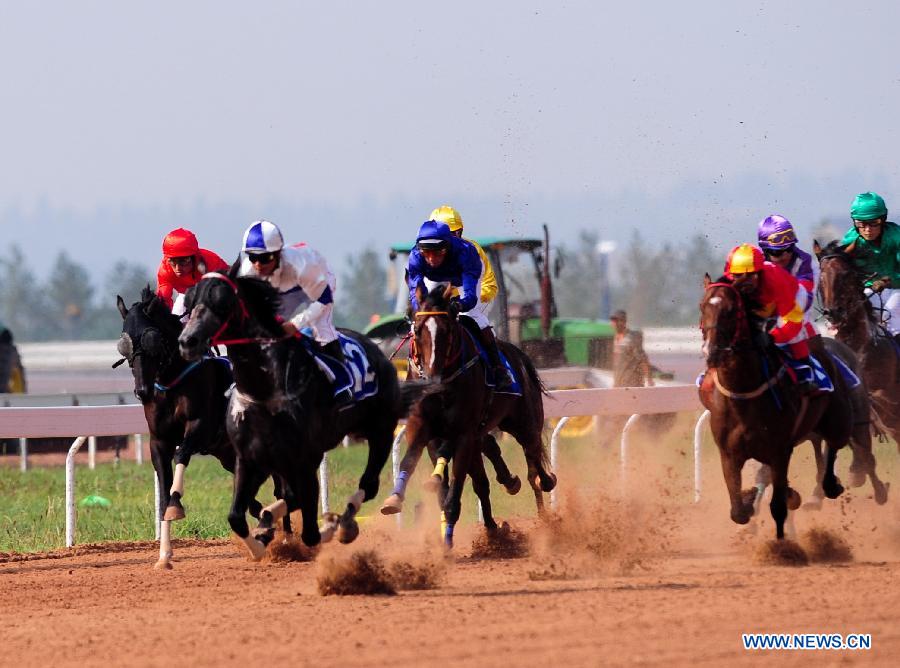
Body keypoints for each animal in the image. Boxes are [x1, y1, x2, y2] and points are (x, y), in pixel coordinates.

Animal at [112, 288, 268, 568]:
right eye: (125, 344)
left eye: (151, 340)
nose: (142, 391)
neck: (172, 381)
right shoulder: (158, 441)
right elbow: (163, 491)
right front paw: (164, 555)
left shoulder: (200, 428)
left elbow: (181, 455)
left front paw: (176, 505)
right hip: (229, 456)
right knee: (253, 497)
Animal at [178, 268, 406, 556]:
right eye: (189, 303)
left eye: (222, 302)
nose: (188, 341)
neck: (265, 391)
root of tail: (380, 351)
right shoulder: (249, 458)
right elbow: (237, 516)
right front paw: (261, 540)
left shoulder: (305, 457)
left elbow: (309, 528)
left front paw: (324, 526)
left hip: (381, 432)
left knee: (368, 484)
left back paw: (344, 523)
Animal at [402, 284, 556, 544]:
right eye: (418, 330)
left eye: (447, 331)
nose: (432, 378)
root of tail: (516, 353)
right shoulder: (434, 434)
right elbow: (455, 484)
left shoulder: (465, 433)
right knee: (492, 450)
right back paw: (509, 484)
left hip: (524, 422)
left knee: (533, 456)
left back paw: (543, 488)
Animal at [700, 274, 856, 540]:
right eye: (702, 307)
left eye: (731, 311)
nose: (712, 353)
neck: (743, 395)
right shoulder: (729, 453)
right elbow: (738, 511)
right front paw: (748, 499)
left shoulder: (779, 451)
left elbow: (778, 506)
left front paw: (783, 543)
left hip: (838, 422)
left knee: (833, 447)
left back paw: (830, 486)